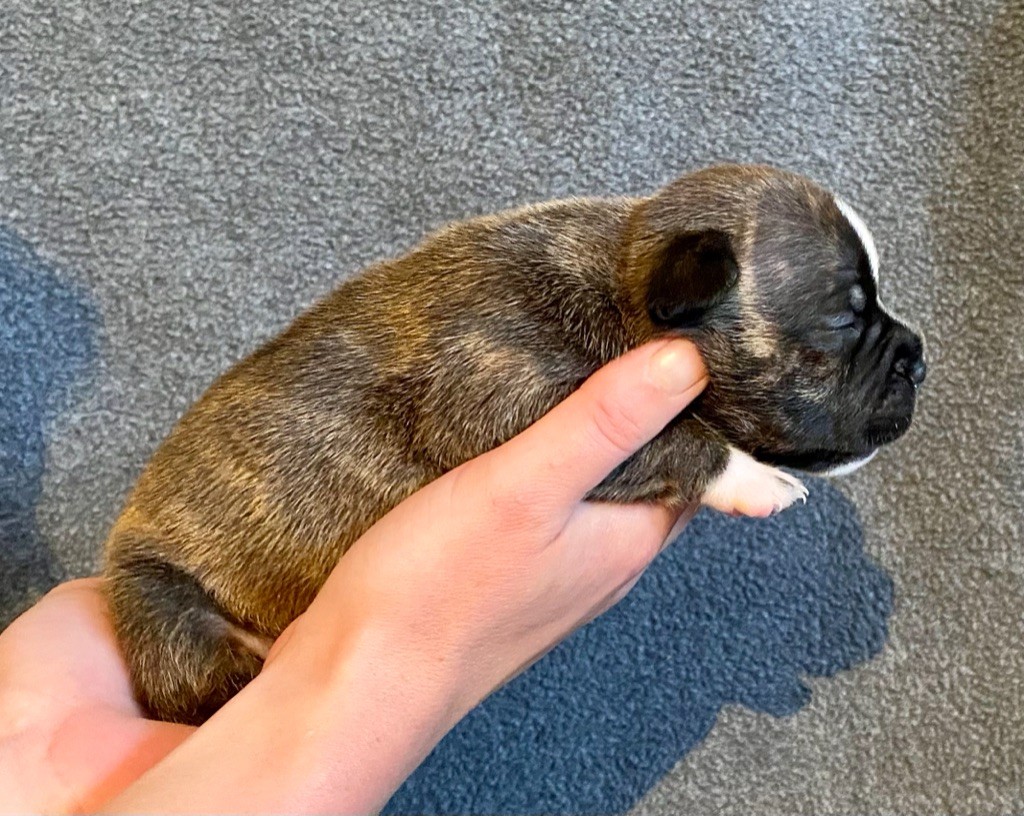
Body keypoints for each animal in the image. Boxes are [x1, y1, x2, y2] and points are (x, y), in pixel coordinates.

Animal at [102, 164, 926, 724]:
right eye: (843, 320)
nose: (918, 355)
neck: (622, 279)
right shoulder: (500, 394)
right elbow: (674, 437)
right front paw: (750, 478)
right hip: (161, 606)